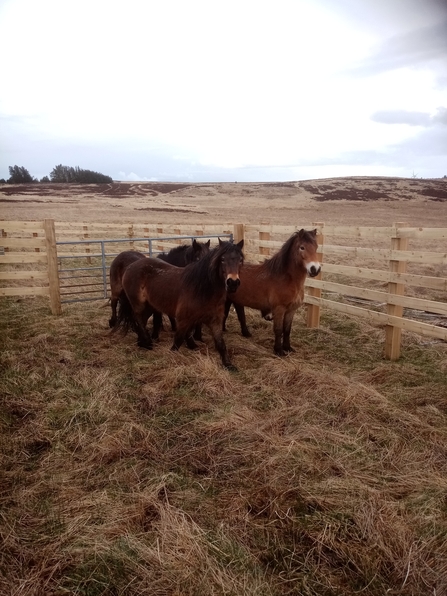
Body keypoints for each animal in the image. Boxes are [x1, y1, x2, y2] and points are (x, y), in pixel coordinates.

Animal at [115, 240, 245, 370]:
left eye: (240, 260)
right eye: (222, 259)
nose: (233, 283)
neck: (202, 289)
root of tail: (130, 266)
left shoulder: (215, 321)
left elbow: (221, 344)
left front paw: (228, 365)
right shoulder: (183, 320)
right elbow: (178, 341)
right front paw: (172, 357)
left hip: (150, 306)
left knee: (142, 319)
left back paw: (142, 342)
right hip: (139, 304)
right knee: (138, 318)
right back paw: (147, 342)